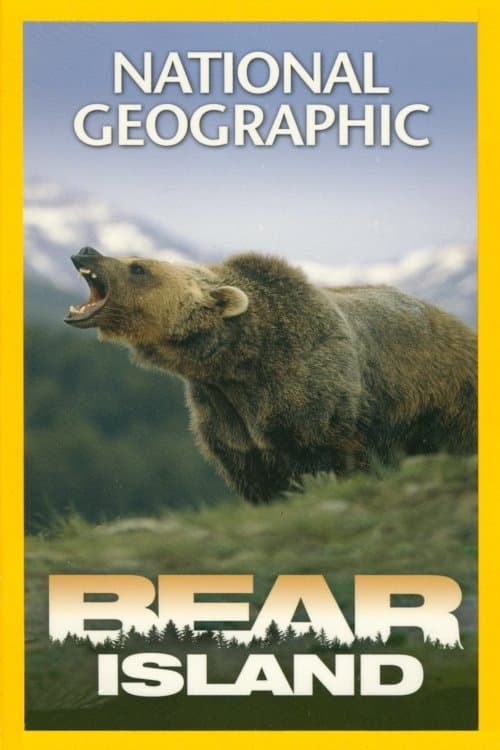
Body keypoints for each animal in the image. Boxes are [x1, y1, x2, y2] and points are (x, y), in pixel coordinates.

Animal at [65, 246, 477, 503]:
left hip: (445, 401)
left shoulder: (313, 405)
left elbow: (332, 464)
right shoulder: (226, 418)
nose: (87, 251)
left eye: (138, 266)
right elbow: (256, 479)